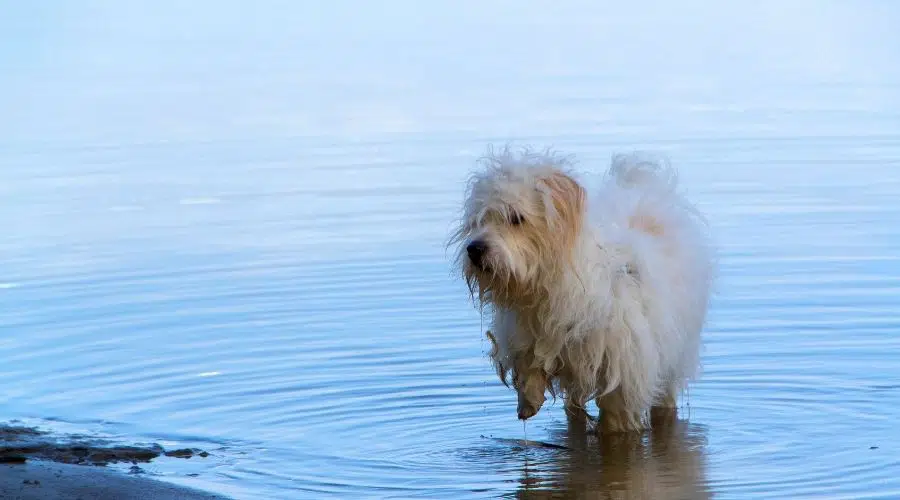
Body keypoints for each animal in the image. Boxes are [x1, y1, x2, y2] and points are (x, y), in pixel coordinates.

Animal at [454, 146, 712, 432]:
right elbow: (529, 361)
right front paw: (528, 400)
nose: (475, 249)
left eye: (516, 218)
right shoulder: (525, 330)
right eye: (479, 220)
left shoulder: (622, 367)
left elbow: (616, 412)